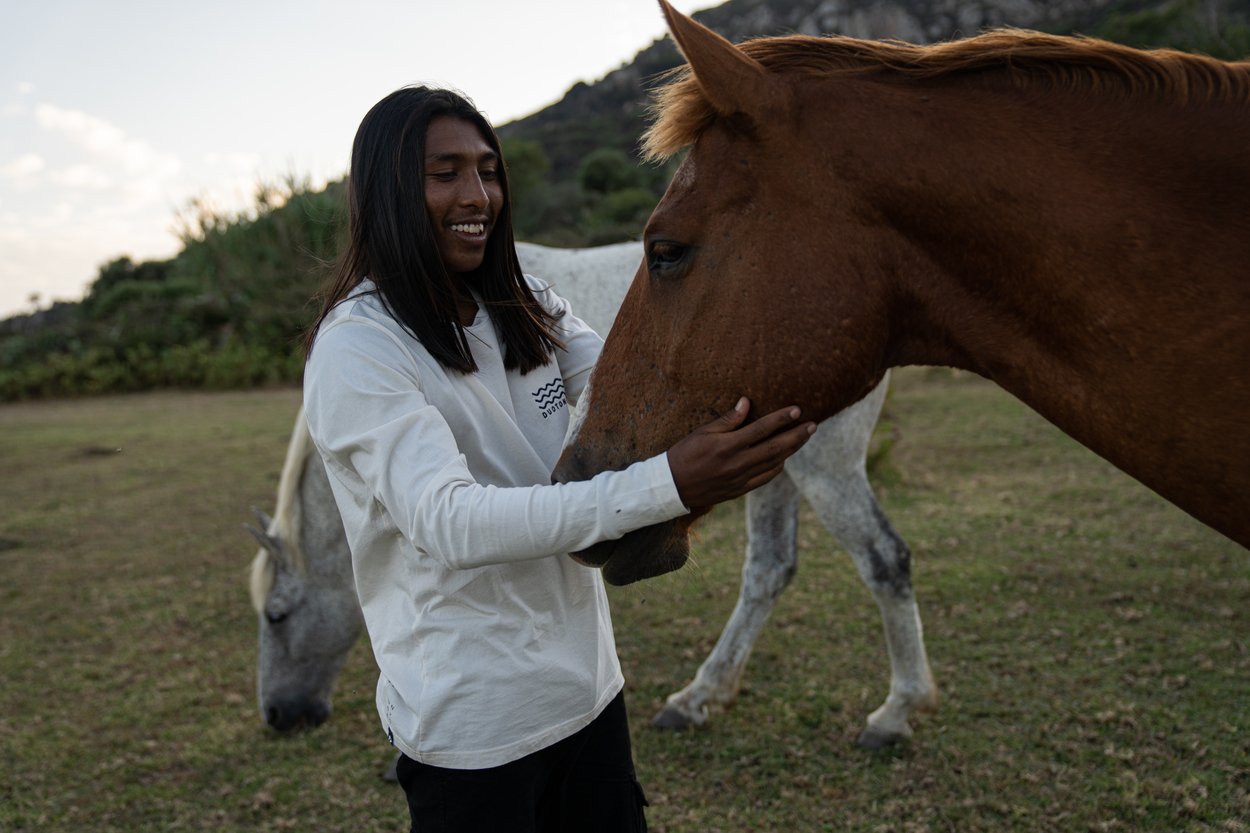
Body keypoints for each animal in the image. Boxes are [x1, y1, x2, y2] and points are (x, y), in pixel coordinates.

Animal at [246, 238, 930, 745]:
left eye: (276, 614)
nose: (277, 716)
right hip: (782, 469)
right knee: (769, 570)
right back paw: (700, 696)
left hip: (827, 466)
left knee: (884, 560)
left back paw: (898, 711)